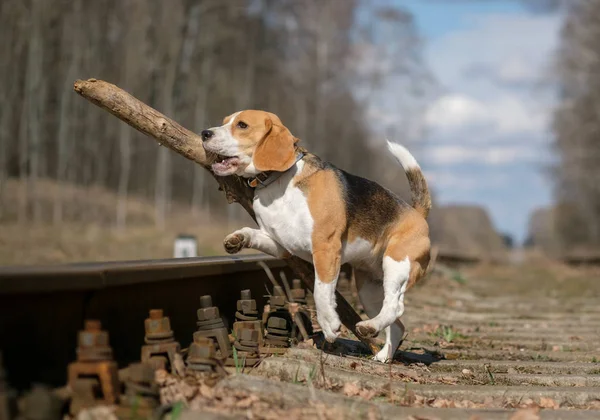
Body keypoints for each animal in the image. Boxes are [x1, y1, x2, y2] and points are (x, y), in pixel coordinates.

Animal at [202, 109, 432, 360]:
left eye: (242, 125)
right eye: (225, 122)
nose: (204, 133)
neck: (278, 182)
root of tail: (416, 213)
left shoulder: (325, 247)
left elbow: (321, 290)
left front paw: (329, 324)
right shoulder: (280, 245)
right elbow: (251, 233)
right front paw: (236, 239)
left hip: (396, 264)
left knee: (395, 307)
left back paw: (368, 327)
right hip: (368, 289)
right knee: (396, 323)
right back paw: (383, 355)